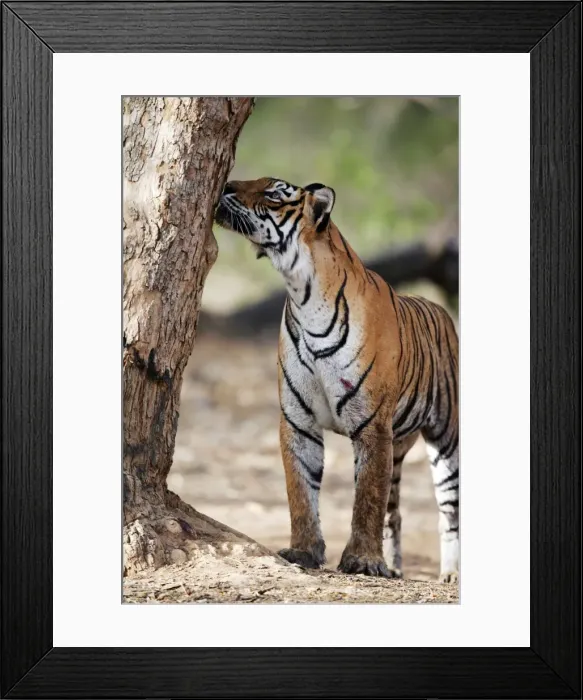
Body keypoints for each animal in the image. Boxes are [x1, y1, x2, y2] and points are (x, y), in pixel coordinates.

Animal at [215, 177, 459, 582]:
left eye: (273, 193)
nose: (226, 184)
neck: (303, 294)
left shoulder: (373, 426)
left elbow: (367, 499)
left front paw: (362, 561)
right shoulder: (298, 421)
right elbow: (301, 491)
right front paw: (303, 552)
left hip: (446, 439)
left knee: (449, 509)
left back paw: (451, 574)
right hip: (399, 441)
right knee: (395, 510)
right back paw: (395, 568)